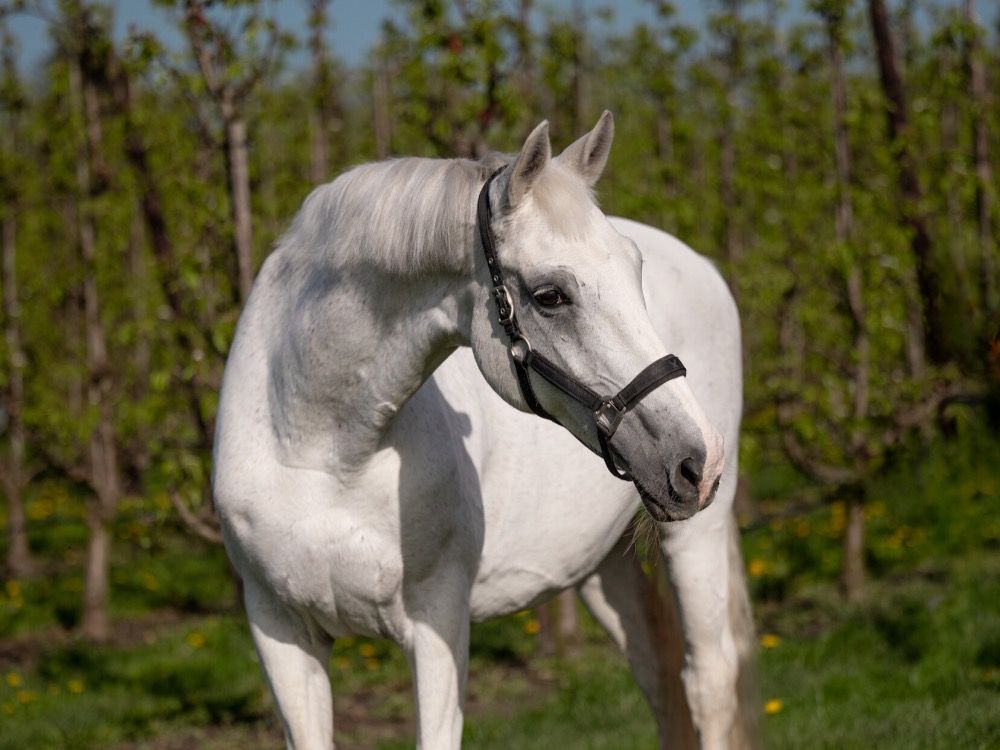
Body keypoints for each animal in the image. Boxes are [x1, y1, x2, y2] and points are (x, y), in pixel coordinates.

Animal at [212, 111, 755, 749]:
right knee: (661, 682)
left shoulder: (437, 623)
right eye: (550, 295)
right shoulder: (280, 634)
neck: (319, 451)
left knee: (706, 679)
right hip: (607, 564)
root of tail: (707, 269)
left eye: (636, 270)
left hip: (699, 534)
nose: (698, 460)